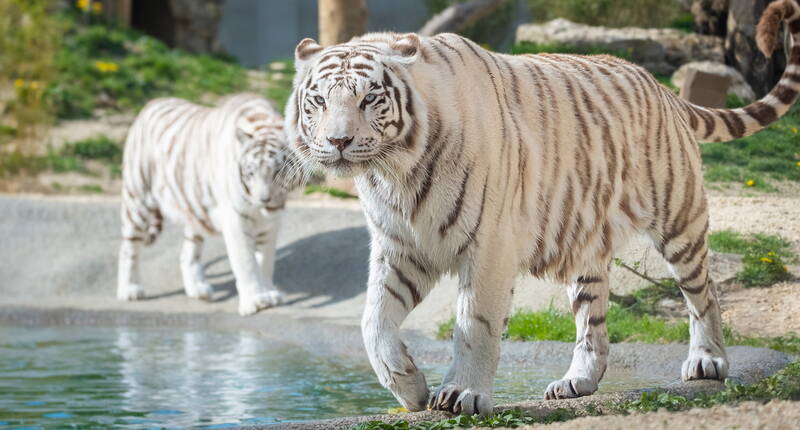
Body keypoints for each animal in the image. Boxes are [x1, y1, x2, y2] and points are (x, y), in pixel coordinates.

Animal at [117, 94, 292, 316]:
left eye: (277, 172)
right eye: (251, 172)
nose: (264, 199)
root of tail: (152, 102)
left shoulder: (271, 224)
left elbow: (266, 261)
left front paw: (269, 293)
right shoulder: (235, 219)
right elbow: (246, 261)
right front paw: (254, 301)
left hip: (196, 210)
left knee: (187, 254)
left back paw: (198, 290)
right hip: (138, 200)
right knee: (128, 248)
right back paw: (129, 290)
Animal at [286, 0, 800, 416]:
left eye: (369, 98)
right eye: (318, 100)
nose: (338, 141)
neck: (395, 172)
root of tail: (659, 86)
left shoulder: (489, 245)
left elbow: (474, 324)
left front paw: (461, 395)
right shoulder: (400, 246)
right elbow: (373, 321)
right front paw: (409, 388)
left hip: (678, 219)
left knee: (703, 292)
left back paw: (708, 361)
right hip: (586, 242)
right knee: (594, 320)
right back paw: (577, 382)